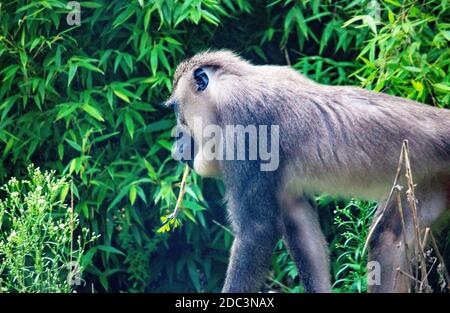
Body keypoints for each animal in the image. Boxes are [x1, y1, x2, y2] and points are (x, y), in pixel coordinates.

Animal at [165, 50, 450, 292]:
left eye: (178, 109)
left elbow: (257, 230)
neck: (232, 85)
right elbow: (301, 228)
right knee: (389, 238)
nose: (176, 139)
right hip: (429, 182)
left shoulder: (245, 133)